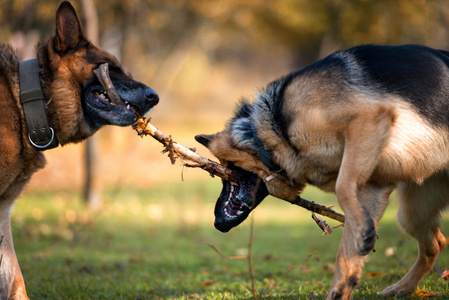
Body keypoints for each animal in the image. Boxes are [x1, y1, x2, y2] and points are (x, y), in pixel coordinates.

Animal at [198, 44, 448, 298]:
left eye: (224, 168)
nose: (216, 222)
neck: (268, 134)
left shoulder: (367, 120)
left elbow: (343, 187)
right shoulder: (372, 189)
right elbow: (346, 261)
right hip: (412, 213)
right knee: (435, 243)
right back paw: (402, 287)